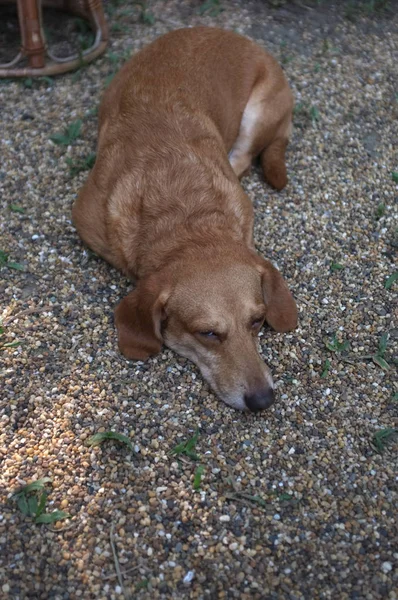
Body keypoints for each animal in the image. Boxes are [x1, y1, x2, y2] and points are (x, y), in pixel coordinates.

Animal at [72, 28, 296, 412]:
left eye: (257, 320)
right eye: (208, 333)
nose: (263, 400)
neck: (186, 217)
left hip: (259, 115)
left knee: (244, 155)